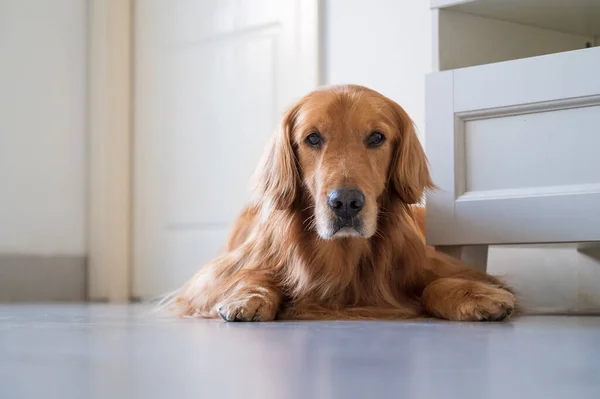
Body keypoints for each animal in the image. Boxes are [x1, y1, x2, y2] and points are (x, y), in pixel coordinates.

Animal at [172, 84, 516, 322]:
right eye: (312, 138)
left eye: (377, 137)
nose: (346, 202)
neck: (343, 254)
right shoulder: (212, 278)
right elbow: (251, 274)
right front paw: (247, 296)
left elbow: (438, 281)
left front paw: (474, 295)